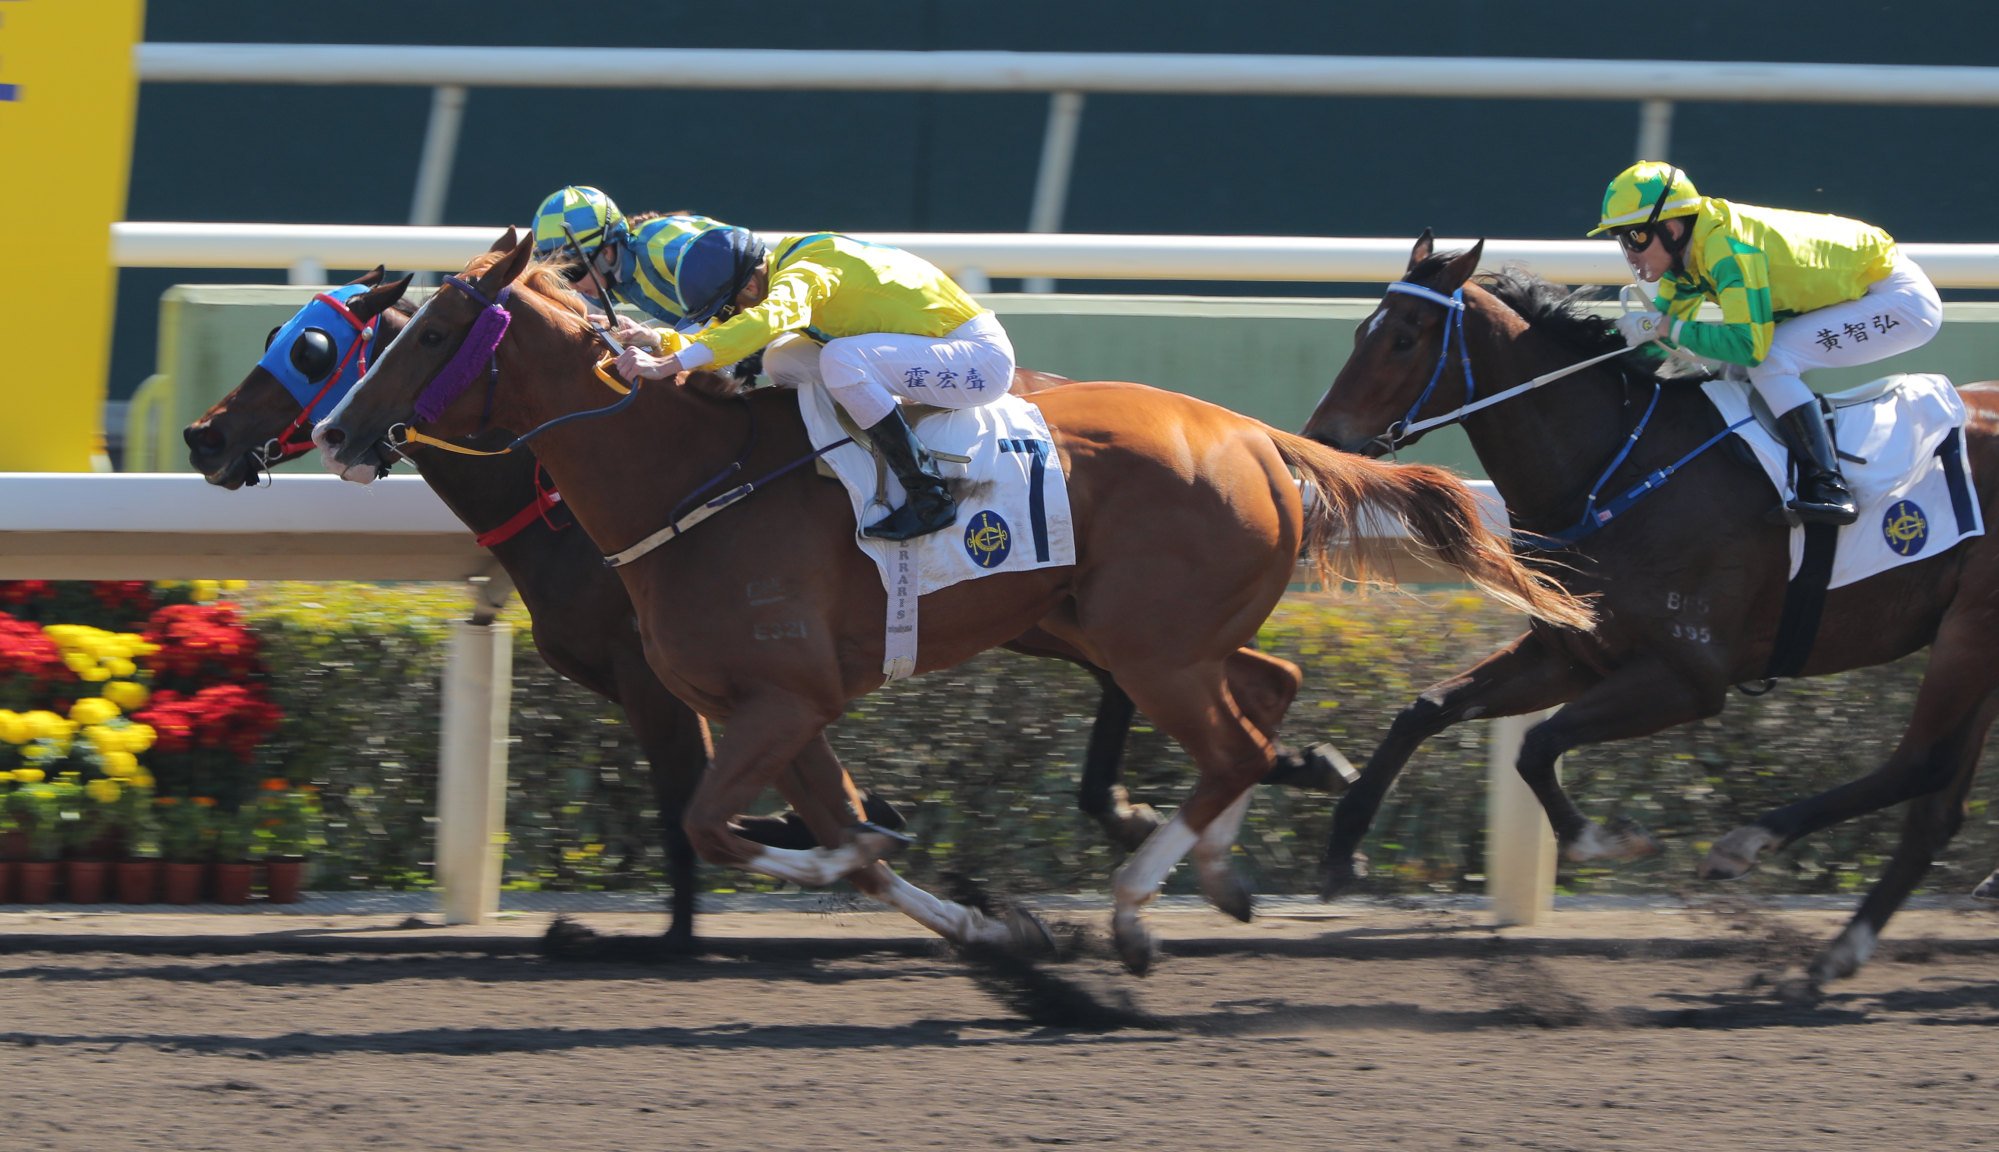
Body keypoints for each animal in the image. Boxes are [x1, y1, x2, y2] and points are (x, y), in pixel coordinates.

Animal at [311, 234, 1591, 972]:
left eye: (431, 332)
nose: (335, 434)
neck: (691, 478)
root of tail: (1259, 437)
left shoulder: (778, 702)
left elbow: (730, 828)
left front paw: (895, 864)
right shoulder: (778, 713)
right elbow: (826, 839)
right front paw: (981, 923)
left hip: (1152, 647)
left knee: (1229, 745)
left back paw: (1137, 909)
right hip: (1156, 635)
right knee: (1264, 696)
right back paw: (1216, 871)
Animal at [1303, 230, 1999, 984]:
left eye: (1404, 339)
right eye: (1360, 331)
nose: (1322, 442)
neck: (1614, 470)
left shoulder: (1688, 678)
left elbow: (1540, 745)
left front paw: (1602, 841)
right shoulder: (1569, 654)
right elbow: (1426, 709)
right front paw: (1341, 849)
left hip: (1970, 632)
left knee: (1919, 763)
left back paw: (1749, 846)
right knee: (1936, 801)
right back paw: (1842, 944)